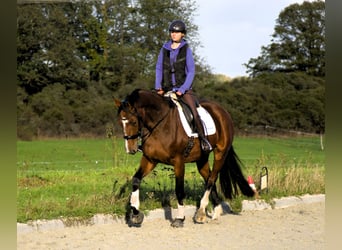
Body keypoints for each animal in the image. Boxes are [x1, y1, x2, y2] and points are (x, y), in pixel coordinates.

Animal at [115, 89, 254, 228]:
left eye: (133, 122)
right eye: (120, 123)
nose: (130, 149)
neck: (160, 125)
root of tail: (222, 111)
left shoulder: (179, 162)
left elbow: (179, 190)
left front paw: (179, 219)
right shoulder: (150, 160)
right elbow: (136, 180)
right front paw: (136, 214)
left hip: (220, 153)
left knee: (211, 179)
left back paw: (201, 213)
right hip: (201, 159)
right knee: (209, 177)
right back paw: (215, 210)